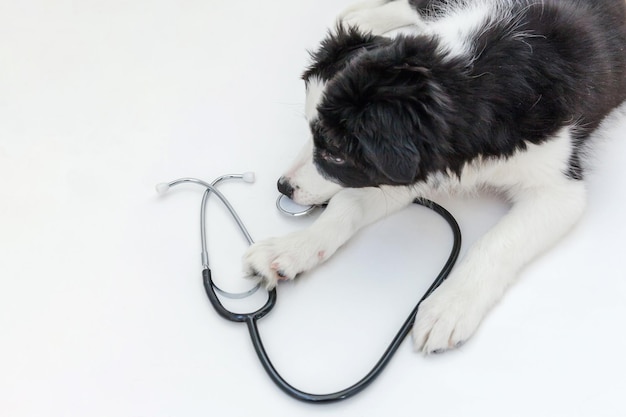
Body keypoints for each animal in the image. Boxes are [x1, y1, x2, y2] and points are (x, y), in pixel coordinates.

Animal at [243, 0, 624, 352]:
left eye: (334, 152)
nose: (283, 187)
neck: (460, 77)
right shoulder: (406, 166)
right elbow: (346, 204)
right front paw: (291, 248)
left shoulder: (557, 188)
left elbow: (495, 242)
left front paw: (450, 307)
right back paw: (358, 17)